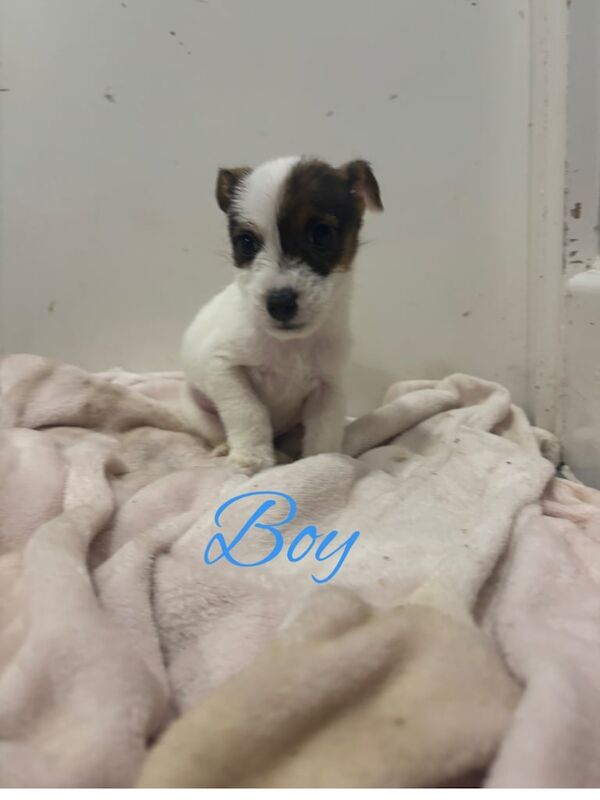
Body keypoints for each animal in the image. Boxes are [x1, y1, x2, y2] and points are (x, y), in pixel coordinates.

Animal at [179, 153, 384, 472]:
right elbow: (249, 412)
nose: (279, 303)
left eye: (321, 234)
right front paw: (252, 457)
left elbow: (324, 431)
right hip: (192, 407)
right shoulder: (224, 368)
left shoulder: (329, 389)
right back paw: (225, 447)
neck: (291, 346)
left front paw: (320, 464)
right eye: (246, 242)